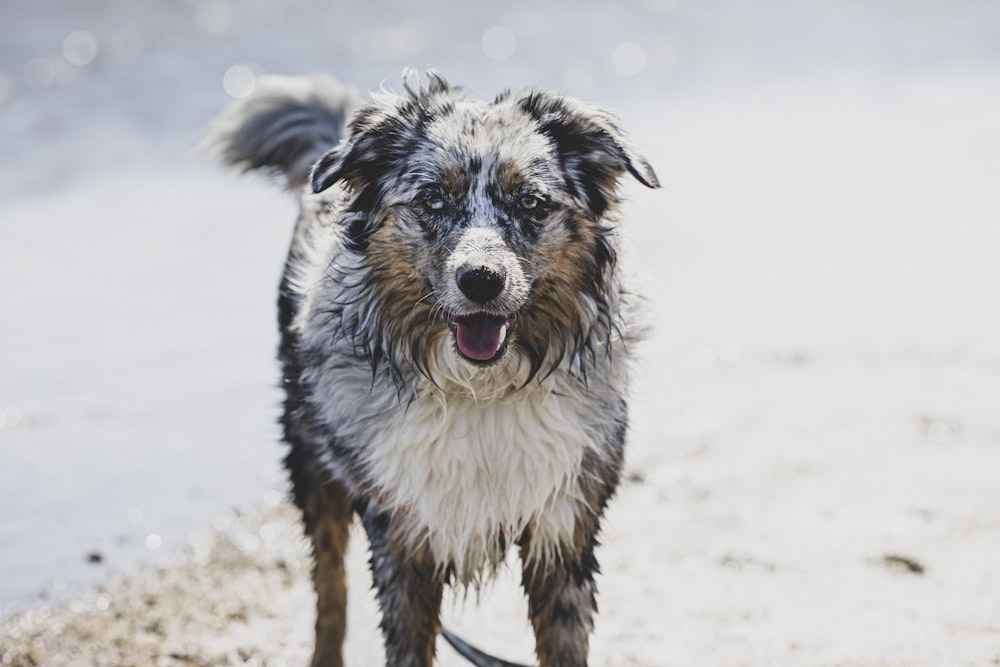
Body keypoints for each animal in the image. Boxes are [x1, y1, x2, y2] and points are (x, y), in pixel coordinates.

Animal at [207, 73, 660, 667]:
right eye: (432, 199)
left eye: (531, 202)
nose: (481, 279)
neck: (481, 392)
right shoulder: (402, 535)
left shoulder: (564, 527)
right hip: (311, 456)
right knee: (330, 585)